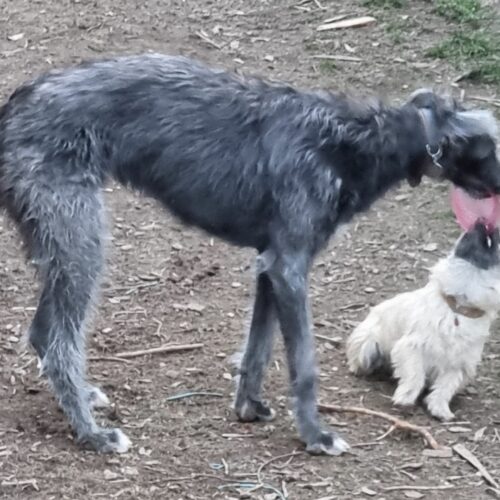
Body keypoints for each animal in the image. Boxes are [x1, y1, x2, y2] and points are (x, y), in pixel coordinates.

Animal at [0, 52, 498, 456]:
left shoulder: (268, 264)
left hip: (64, 246)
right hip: (80, 240)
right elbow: (304, 364)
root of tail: (14, 107)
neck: (357, 140)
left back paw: (83, 399)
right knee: (60, 344)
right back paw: (92, 434)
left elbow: (258, 347)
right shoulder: (290, 267)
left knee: (43, 332)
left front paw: (249, 407)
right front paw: (315, 435)